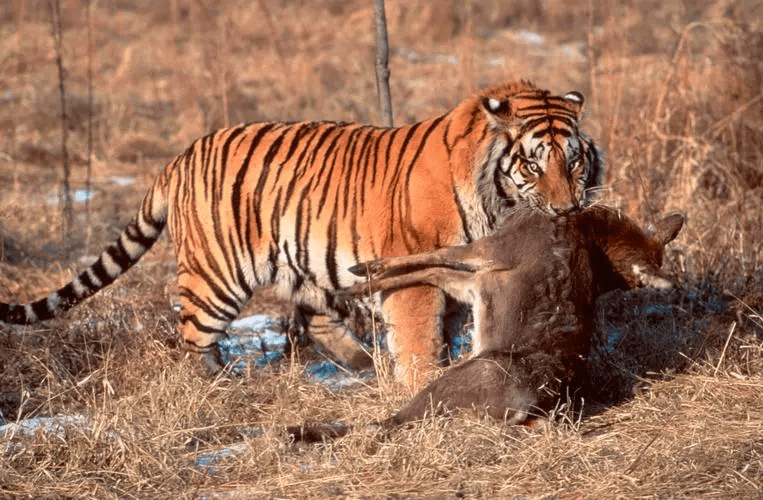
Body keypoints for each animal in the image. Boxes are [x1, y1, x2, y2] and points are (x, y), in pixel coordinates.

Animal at [1, 80, 604, 388]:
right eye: (533, 164)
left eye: (574, 161)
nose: (567, 210)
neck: (496, 203)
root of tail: (179, 157)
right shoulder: (414, 276)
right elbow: (420, 340)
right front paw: (423, 386)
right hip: (217, 276)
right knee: (192, 336)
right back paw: (216, 389)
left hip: (303, 263)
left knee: (314, 319)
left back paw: (363, 365)